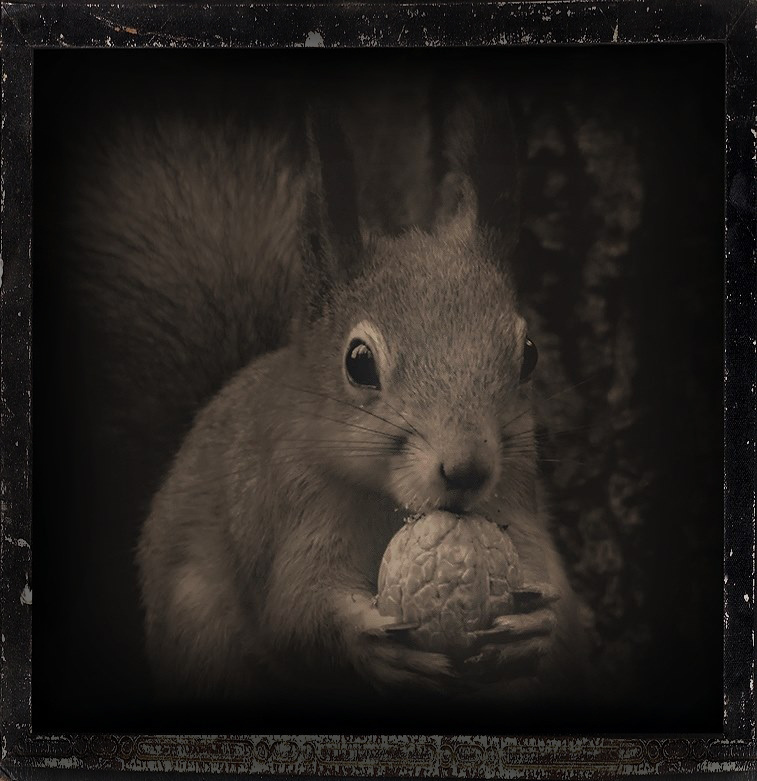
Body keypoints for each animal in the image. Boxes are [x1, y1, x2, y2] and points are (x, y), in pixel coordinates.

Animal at [64, 65, 589, 723]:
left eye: (528, 353)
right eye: (358, 362)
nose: (467, 470)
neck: (391, 505)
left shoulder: (514, 493)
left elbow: (558, 592)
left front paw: (538, 624)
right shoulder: (293, 500)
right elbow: (293, 610)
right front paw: (360, 640)